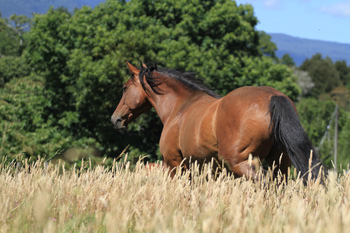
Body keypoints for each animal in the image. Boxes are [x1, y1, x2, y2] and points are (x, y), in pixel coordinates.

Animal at [110, 62, 324, 184]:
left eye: (125, 88)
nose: (115, 119)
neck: (180, 107)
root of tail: (273, 97)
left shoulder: (174, 164)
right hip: (279, 163)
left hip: (241, 163)